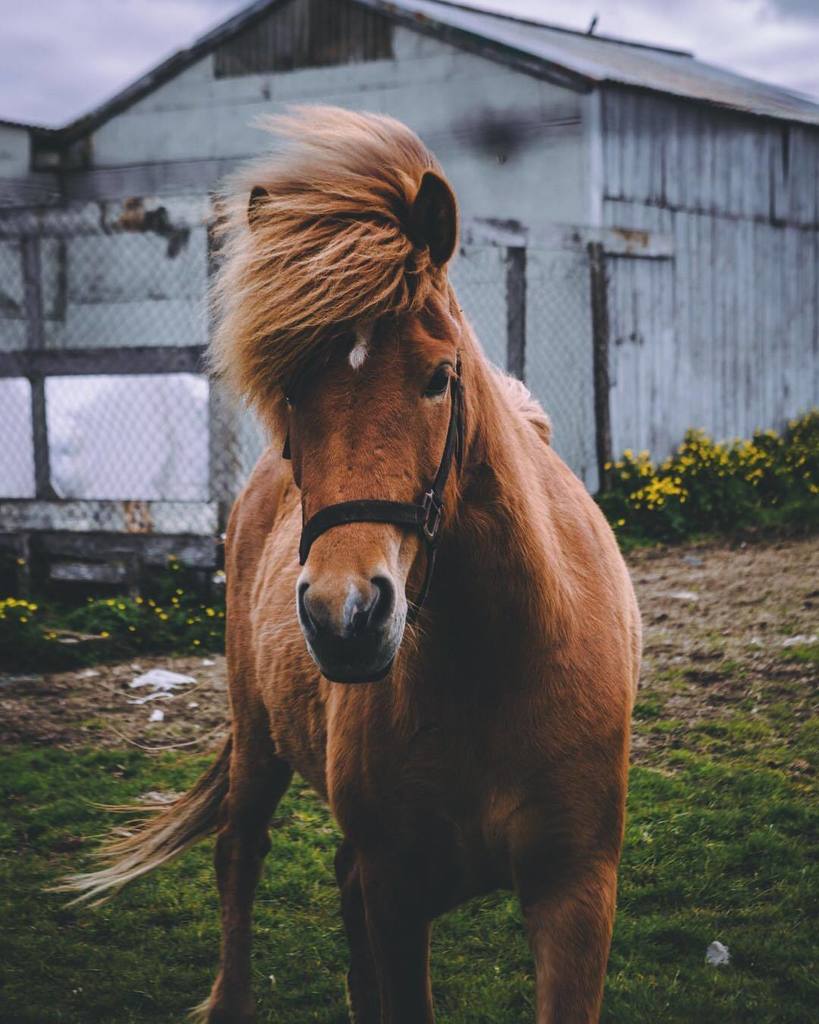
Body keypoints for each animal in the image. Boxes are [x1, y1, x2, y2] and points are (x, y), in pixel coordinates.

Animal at [63, 107, 641, 1024]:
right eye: (293, 389)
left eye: (439, 377)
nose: (343, 615)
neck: (494, 662)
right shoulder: (398, 895)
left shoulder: (576, 894)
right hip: (258, 739)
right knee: (238, 851)